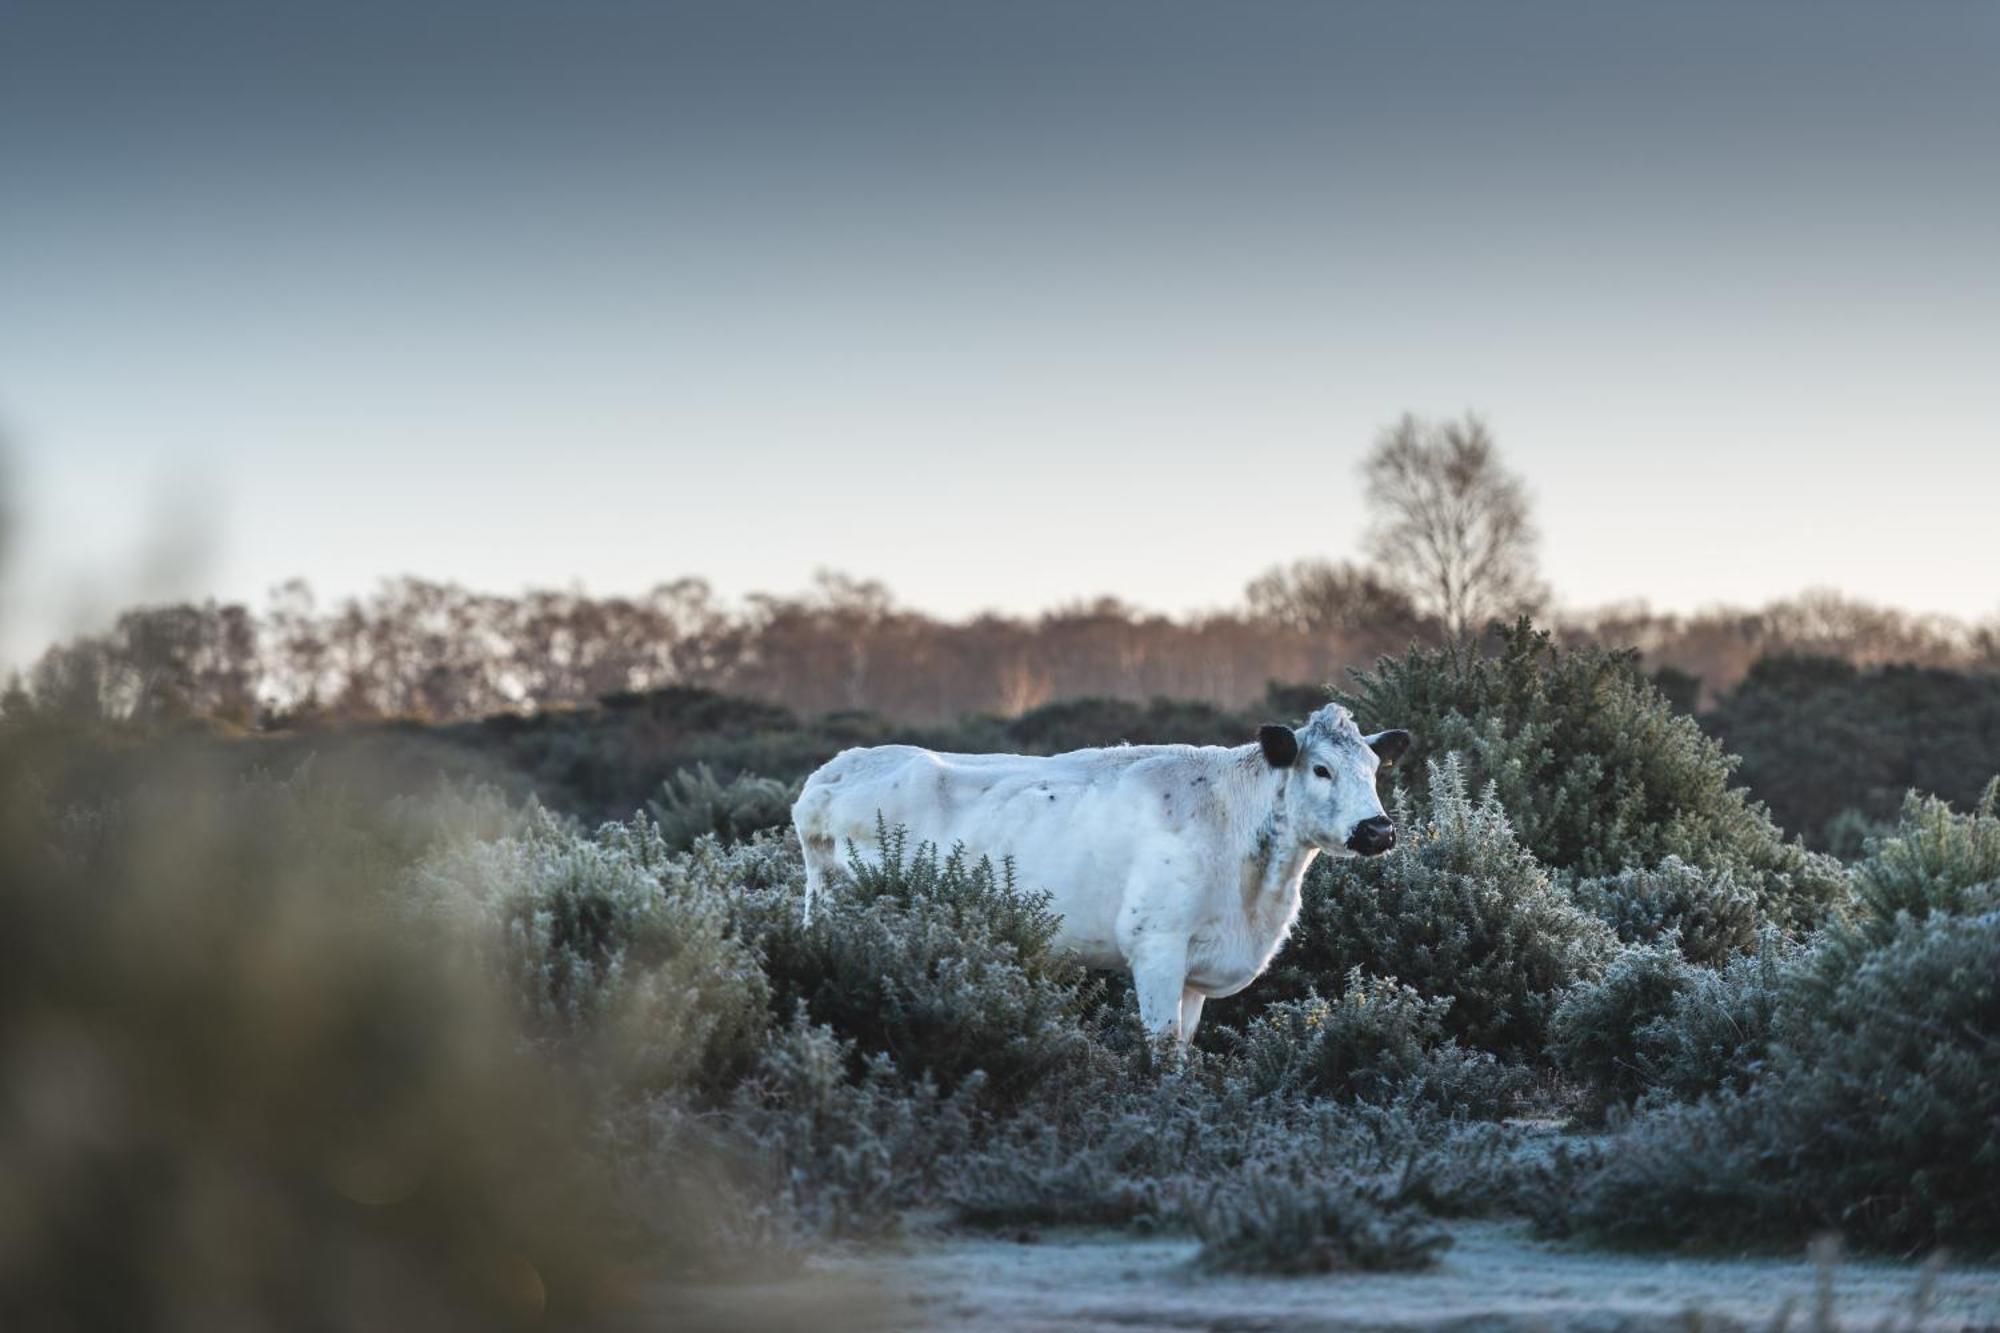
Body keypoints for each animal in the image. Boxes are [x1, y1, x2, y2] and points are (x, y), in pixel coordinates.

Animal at [788, 700, 1416, 1040]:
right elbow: (1162, 1050)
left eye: (1374, 768)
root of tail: (837, 769)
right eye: (1320, 769)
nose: (1378, 830)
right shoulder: (1156, 946)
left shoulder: (1197, 973)